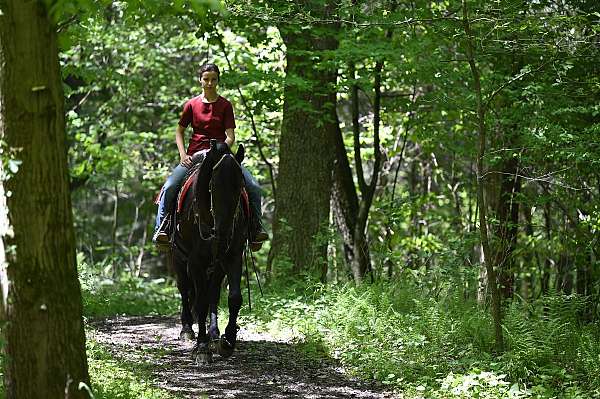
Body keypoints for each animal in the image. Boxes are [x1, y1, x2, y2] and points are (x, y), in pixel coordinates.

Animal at [168, 141, 247, 366]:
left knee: (213, 293)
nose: (223, 234)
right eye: (213, 186)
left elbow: (234, 297)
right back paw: (187, 330)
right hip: (178, 259)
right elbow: (200, 302)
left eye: (240, 185)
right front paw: (202, 349)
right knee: (185, 290)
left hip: (217, 266)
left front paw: (227, 341)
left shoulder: (233, 256)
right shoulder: (195, 262)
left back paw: (213, 333)